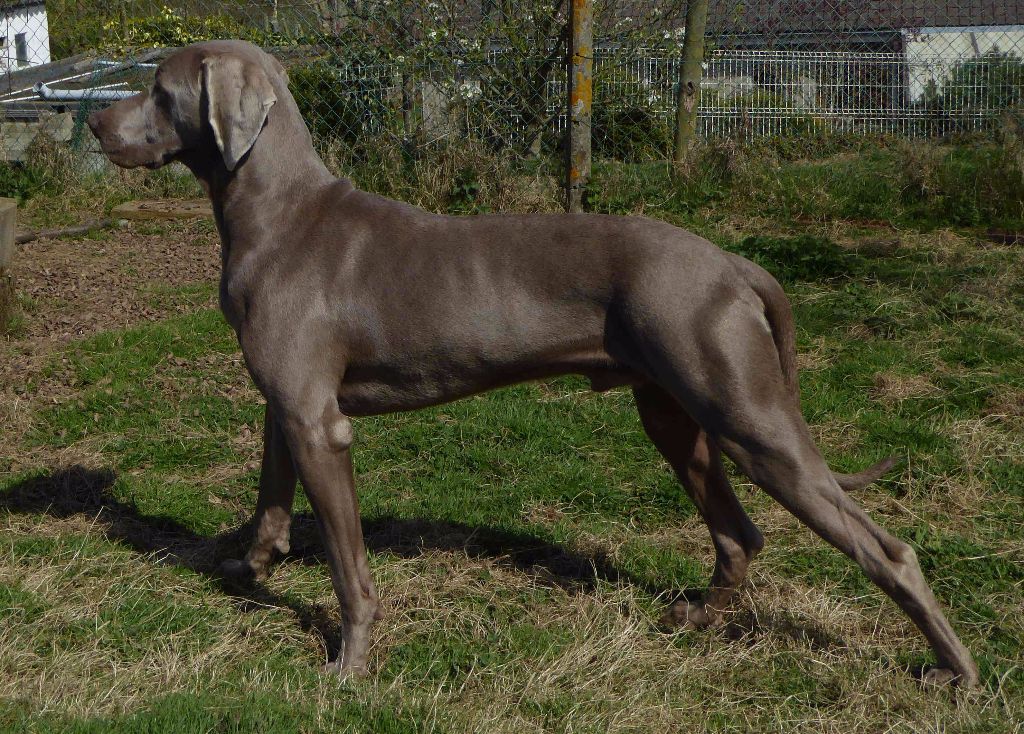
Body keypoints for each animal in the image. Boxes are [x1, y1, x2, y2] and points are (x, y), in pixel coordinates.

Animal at [86, 38, 974, 679]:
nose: (94, 125)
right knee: (740, 534)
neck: (276, 213)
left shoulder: (320, 424)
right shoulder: (289, 403)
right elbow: (270, 492)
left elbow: (348, 567)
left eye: (158, 89)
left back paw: (954, 668)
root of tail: (729, 261)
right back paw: (697, 618)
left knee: (886, 549)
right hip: (673, 415)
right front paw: (249, 562)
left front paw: (351, 663)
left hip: (750, 418)